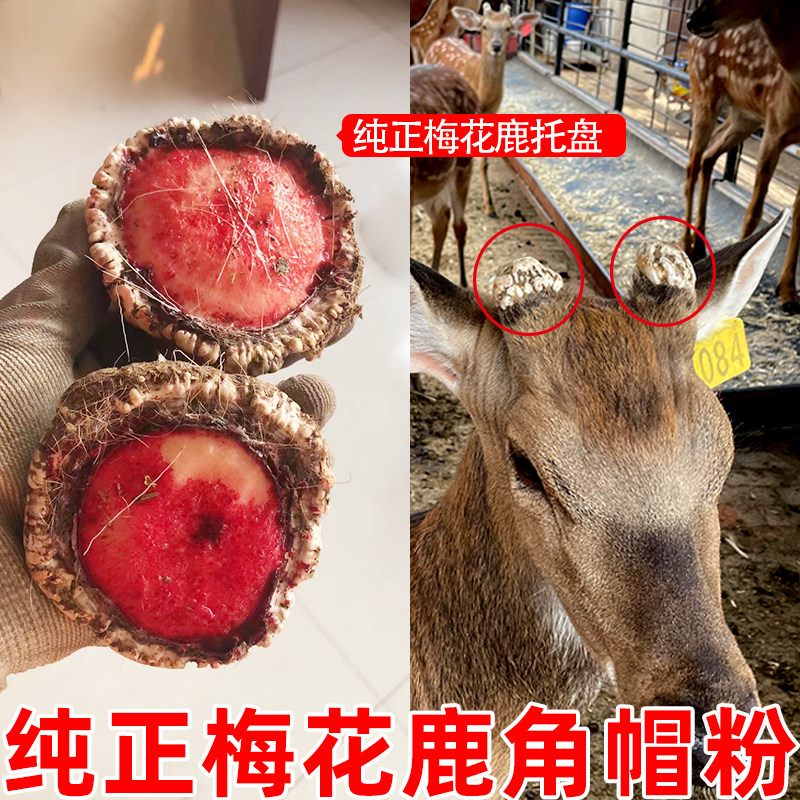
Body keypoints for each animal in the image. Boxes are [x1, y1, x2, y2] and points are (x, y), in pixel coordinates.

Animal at [425, 3, 540, 218]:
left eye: (508, 27)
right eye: (484, 26)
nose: (496, 46)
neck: (483, 97)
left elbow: (484, 162)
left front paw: (490, 207)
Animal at [683, 0, 800, 313]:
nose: (693, 20)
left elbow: (797, 213)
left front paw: (788, 292)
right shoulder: (774, 126)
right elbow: (754, 210)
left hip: (742, 116)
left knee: (708, 157)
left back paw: (700, 242)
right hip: (704, 94)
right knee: (692, 164)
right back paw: (687, 243)